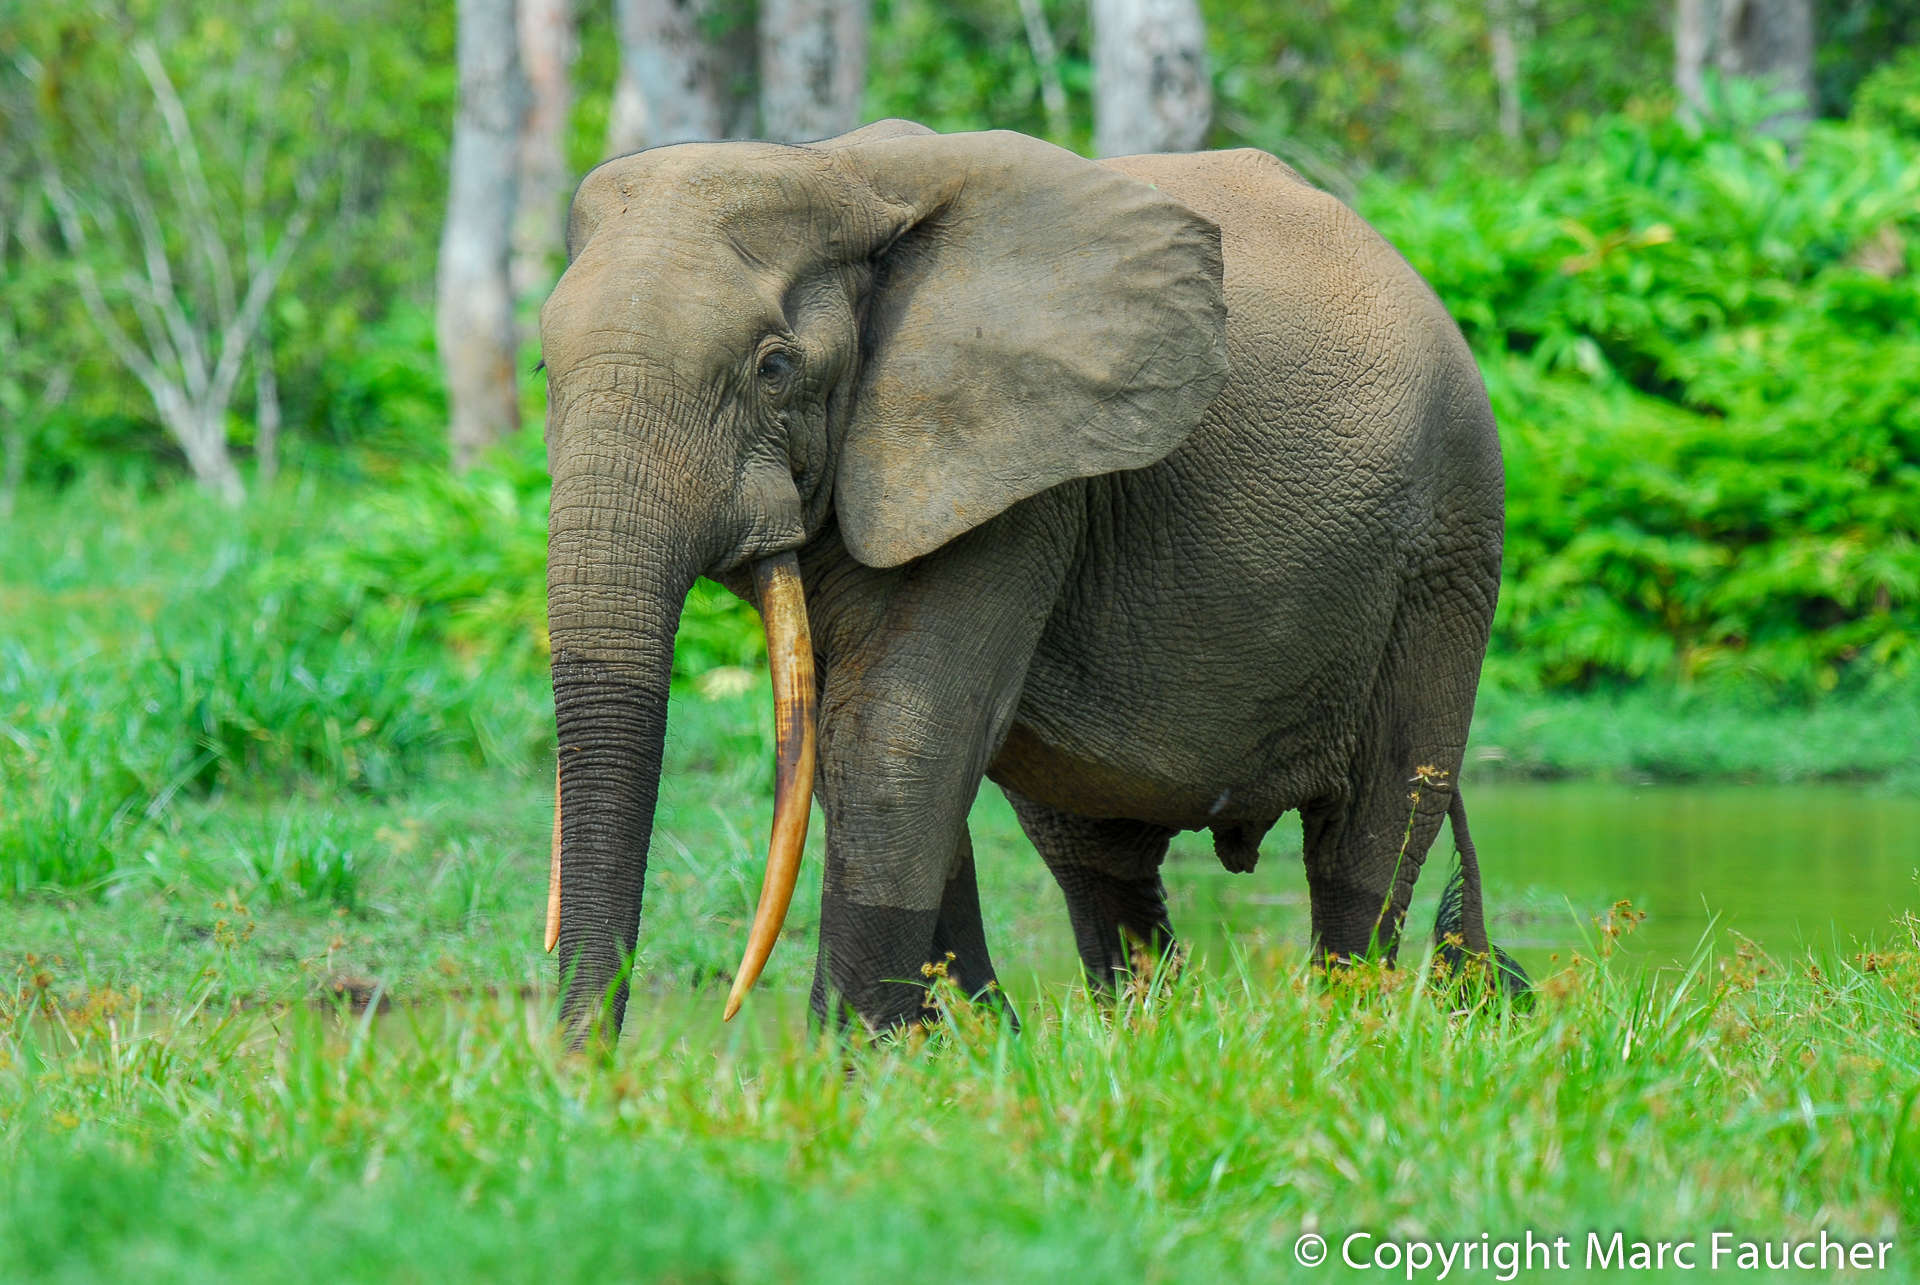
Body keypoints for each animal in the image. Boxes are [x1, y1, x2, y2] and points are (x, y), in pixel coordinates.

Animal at [541, 117, 1528, 1044]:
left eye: (774, 368)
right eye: (546, 367)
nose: (588, 1069)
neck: (836, 170)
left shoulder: (1021, 479)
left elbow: (895, 735)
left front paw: (845, 1071)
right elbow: (856, 742)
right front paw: (947, 1054)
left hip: (1447, 548)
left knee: (1370, 839)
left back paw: (1342, 1027)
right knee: (1095, 860)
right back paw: (1141, 1033)